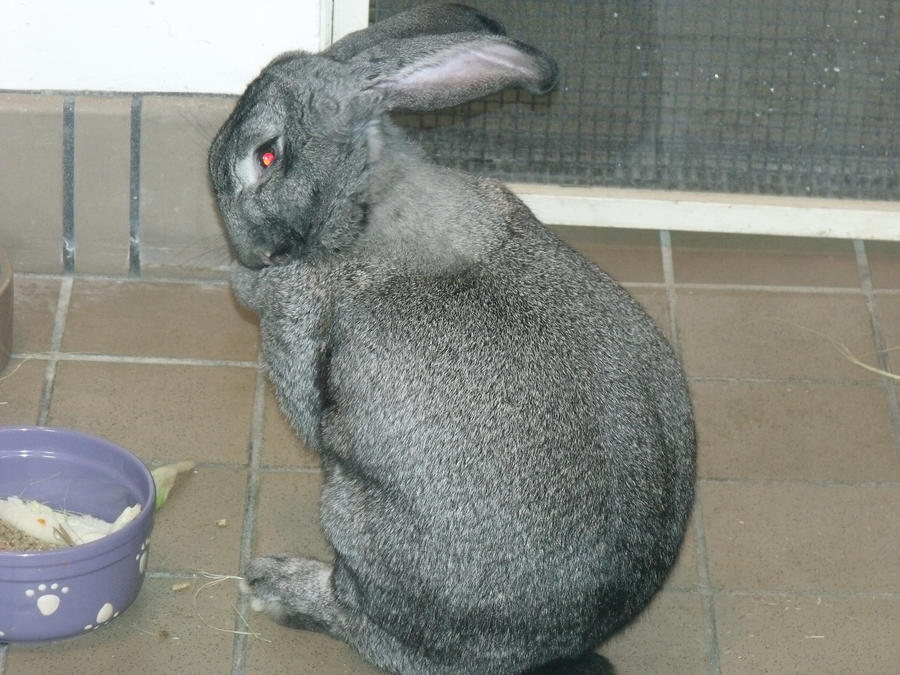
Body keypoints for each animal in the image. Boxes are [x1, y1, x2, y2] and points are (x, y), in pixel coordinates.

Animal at [209, 2, 696, 672]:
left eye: (265, 156)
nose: (249, 254)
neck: (363, 205)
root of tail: (547, 651)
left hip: (349, 512)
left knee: (363, 623)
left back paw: (279, 586)